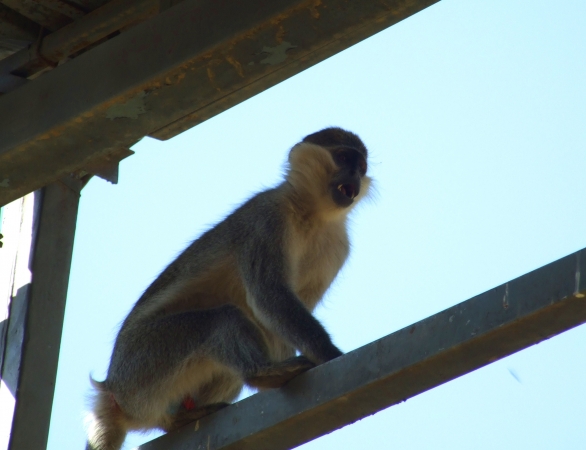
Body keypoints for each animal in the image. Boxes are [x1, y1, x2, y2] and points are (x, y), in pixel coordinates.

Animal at [85, 126, 370, 450]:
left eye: (361, 166)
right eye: (344, 157)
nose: (355, 175)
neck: (312, 215)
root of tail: (112, 391)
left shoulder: (337, 248)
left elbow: (278, 320)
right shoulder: (266, 218)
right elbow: (268, 298)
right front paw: (329, 354)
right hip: (144, 363)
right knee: (222, 319)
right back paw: (262, 375)